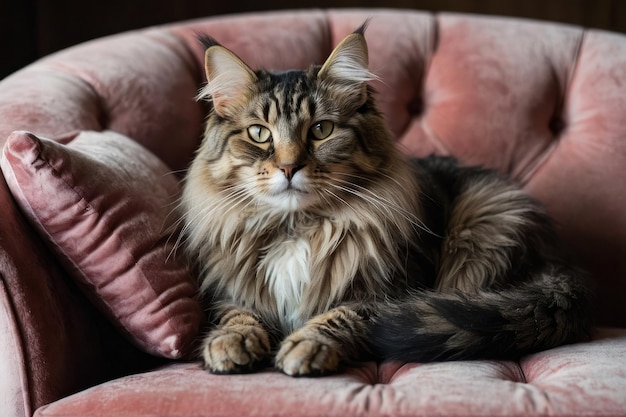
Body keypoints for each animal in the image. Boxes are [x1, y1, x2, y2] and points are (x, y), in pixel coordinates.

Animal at [182, 25, 588, 376]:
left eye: (321, 130)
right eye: (258, 133)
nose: (288, 167)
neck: (298, 228)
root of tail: (560, 264)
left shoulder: (388, 293)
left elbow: (337, 317)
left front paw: (307, 346)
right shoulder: (229, 292)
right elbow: (238, 315)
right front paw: (231, 343)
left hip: (480, 233)